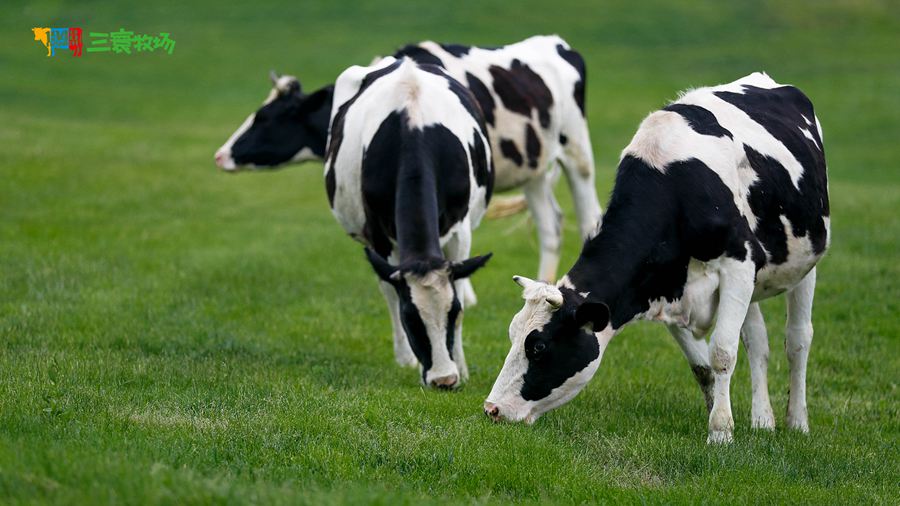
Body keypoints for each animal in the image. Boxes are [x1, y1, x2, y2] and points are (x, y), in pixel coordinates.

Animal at [214, 34, 600, 282]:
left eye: (267, 118)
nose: (221, 155)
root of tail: (557, 43)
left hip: (576, 150)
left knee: (588, 219)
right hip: (533, 170)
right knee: (551, 227)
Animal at [324, 56, 492, 388]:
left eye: (453, 312)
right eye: (410, 318)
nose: (443, 380)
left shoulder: (460, 229)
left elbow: (460, 286)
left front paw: (462, 366)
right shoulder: (378, 233)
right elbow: (390, 291)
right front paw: (407, 359)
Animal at [486, 72, 828, 442]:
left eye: (538, 347)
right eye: (512, 335)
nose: (492, 409)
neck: (675, 189)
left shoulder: (739, 262)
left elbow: (722, 352)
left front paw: (720, 432)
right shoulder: (666, 287)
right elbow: (702, 366)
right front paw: (718, 414)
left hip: (804, 262)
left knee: (797, 340)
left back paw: (797, 422)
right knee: (758, 342)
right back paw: (763, 419)